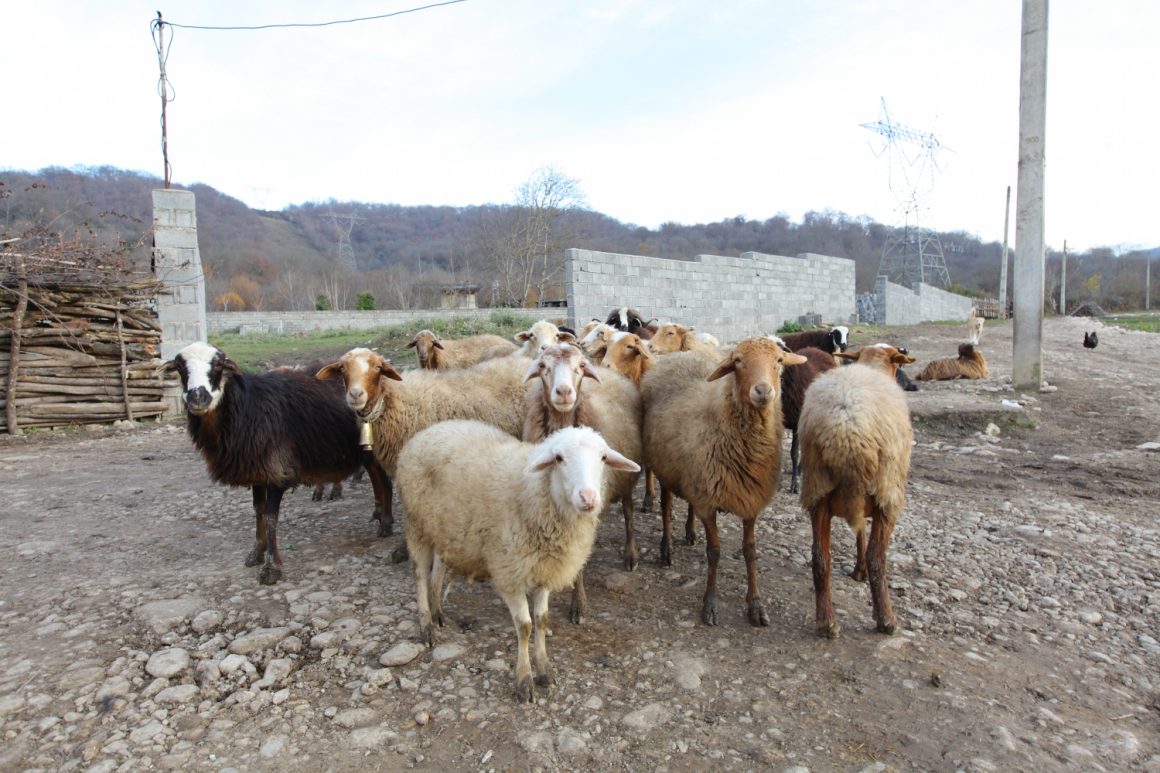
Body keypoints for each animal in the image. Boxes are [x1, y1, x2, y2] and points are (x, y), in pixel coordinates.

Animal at [164, 342, 390, 585]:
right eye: (180, 367)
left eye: (218, 365)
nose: (197, 398)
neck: (246, 409)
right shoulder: (257, 470)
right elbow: (258, 511)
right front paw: (256, 552)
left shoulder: (277, 469)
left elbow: (271, 517)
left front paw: (271, 567)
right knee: (375, 476)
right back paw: (379, 514)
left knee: (385, 480)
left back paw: (386, 523)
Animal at [395, 420, 640, 703]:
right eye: (559, 458)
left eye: (603, 458)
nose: (588, 498)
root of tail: (429, 430)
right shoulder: (510, 571)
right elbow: (525, 626)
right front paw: (524, 680)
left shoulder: (545, 568)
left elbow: (542, 620)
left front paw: (544, 669)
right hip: (416, 523)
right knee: (420, 575)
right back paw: (426, 625)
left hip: (444, 529)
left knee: (438, 568)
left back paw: (437, 612)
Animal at [523, 344, 644, 623]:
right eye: (543, 366)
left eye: (580, 366)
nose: (564, 391)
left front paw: (578, 604)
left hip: (626, 481)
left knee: (629, 513)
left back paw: (630, 554)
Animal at [641, 337, 807, 626]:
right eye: (738, 361)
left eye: (779, 361)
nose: (763, 391)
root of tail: (681, 355)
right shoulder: (708, 503)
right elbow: (714, 552)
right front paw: (709, 605)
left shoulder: (750, 499)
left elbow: (750, 551)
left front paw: (756, 605)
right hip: (665, 469)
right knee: (666, 506)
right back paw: (666, 548)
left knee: (688, 504)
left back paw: (690, 532)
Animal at [797, 344, 915, 638]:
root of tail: (846, 425)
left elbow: (859, 531)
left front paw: (857, 571)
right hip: (888, 491)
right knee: (878, 559)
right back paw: (885, 619)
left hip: (817, 488)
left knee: (820, 558)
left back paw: (826, 621)